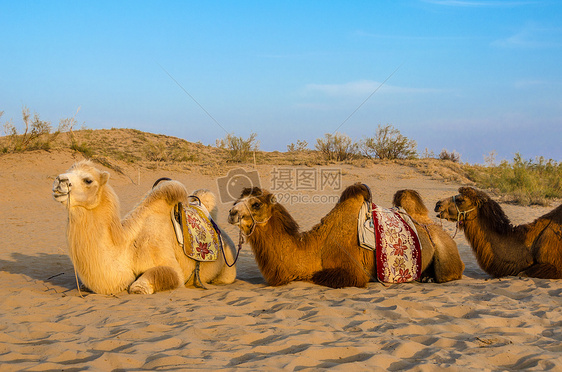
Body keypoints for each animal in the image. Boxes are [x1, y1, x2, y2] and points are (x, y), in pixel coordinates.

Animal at [51, 161, 235, 294]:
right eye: (68, 170)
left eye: (88, 180)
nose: (59, 180)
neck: (127, 247)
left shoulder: (169, 265)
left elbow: (139, 286)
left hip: (228, 269)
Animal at [225, 183, 462, 288]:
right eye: (237, 200)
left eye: (255, 204)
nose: (232, 212)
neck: (315, 248)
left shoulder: (352, 271)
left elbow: (321, 277)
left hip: (446, 253)